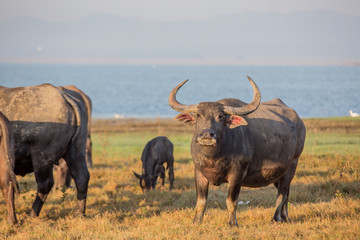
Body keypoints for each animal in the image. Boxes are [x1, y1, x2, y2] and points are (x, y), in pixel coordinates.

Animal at [0, 83, 89, 218]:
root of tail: (63, 96)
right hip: (76, 150)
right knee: (81, 177)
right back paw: (79, 214)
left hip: (42, 157)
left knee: (44, 184)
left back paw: (31, 215)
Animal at [170, 76, 306, 226]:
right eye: (198, 115)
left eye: (220, 116)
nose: (206, 134)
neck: (214, 157)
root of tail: (300, 123)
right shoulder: (199, 173)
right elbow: (201, 202)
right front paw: (196, 222)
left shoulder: (237, 174)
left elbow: (231, 201)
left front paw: (232, 223)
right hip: (277, 174)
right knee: (286, 193)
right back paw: (285, 217)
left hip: (292, 166)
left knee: (282, 194)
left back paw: (276, 218)